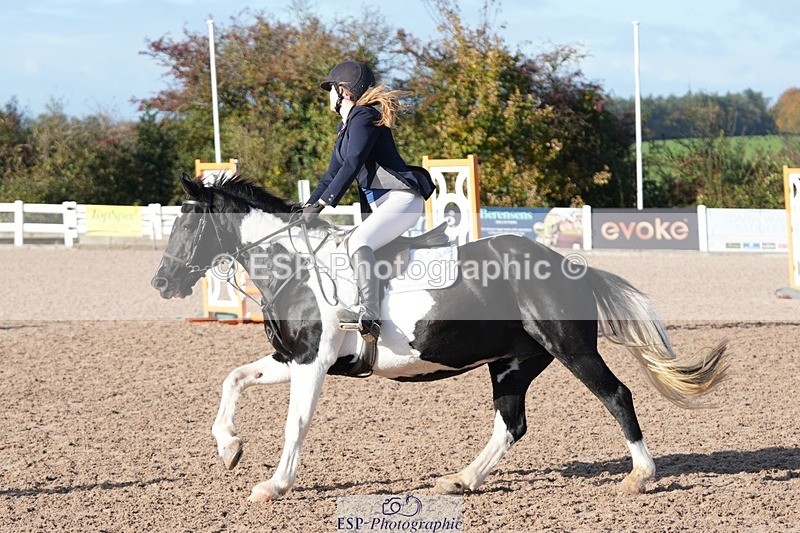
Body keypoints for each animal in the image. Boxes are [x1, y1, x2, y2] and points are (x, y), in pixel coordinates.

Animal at [151, 174, 728, 502]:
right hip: (513, 362)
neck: (294, 265)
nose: (161, 283)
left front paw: (274, 485)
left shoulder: (313, 361)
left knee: (617, 395)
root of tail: (570, 266)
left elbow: (296, 423)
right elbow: (233, 379)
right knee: (511, 424)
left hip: (570, 349)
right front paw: (229, 447)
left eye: (188, 225)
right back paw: (461, 480)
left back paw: (640, 475)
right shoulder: (292, 357)